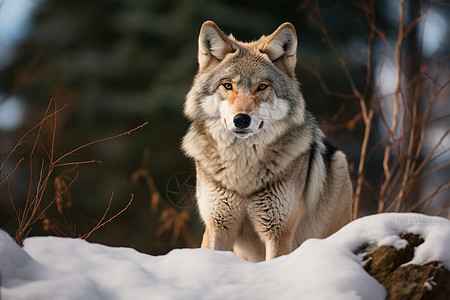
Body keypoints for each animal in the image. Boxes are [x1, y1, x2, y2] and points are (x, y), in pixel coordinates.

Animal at [181, 21, 354, 262]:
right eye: (227, 86)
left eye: (262, 86)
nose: (241, 119)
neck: (242, 170)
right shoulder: (217, 226)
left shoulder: (278, 232)